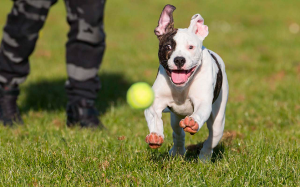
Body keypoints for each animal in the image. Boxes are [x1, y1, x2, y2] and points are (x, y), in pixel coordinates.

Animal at [144, 4, 229, 162]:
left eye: (191, 47)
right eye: (168, 47)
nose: (179, 59)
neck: (181, 88)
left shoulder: (203, 101)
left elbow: (200, 111)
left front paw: (192, 122)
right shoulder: (155, 103)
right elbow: (154, 117)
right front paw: (155, 135)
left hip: (219, 120)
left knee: (211, 139)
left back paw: (204, 158)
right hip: (175, 117)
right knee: (178, 133)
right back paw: (177, 151)